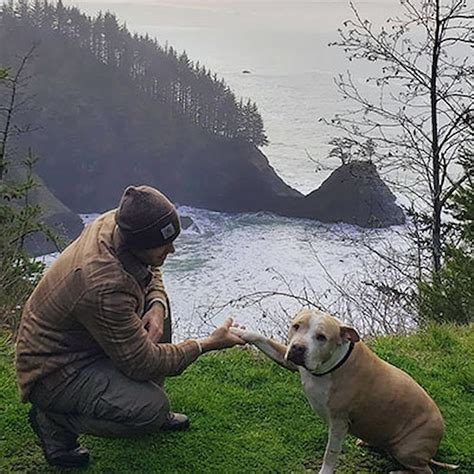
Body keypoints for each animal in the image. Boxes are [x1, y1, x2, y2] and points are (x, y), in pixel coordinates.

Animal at [233, 310, 456, 472]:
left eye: (321, 337)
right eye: (296, 326)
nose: (298, 348)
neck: (327, 367)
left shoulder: (339, 423)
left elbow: (330, 454)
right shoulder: (288, 360)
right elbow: (263, 340)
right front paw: (240, 332)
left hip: (407, 450)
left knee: (425, 471)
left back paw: (398, 471)